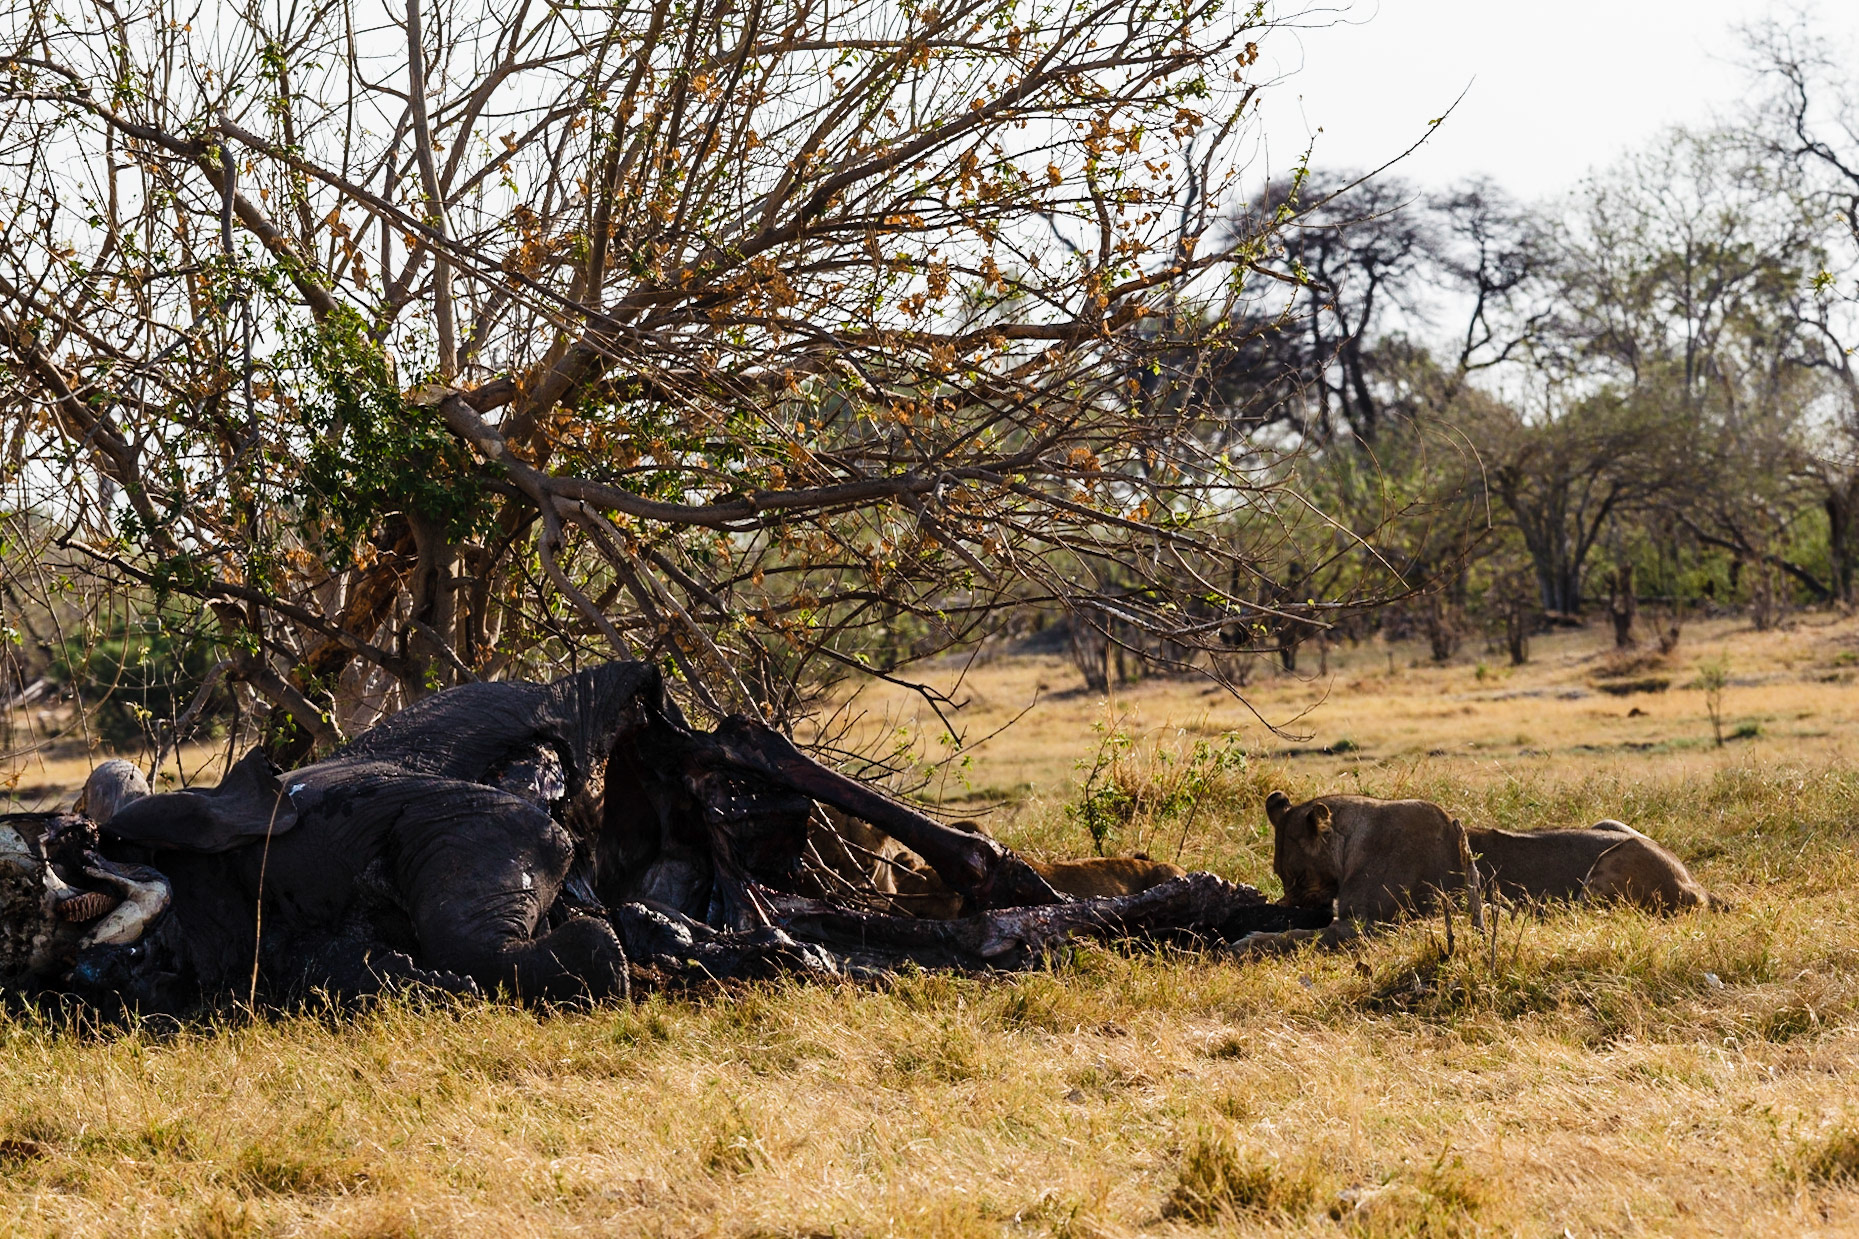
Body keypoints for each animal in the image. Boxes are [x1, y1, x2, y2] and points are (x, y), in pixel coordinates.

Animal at [1248, 790, 1711, 949]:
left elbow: (1298, 938)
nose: (1287, 903)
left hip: (1611, 861)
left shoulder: (1368, 926)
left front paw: (1249, 940)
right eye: (1280, 875)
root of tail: (1697, 885)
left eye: (1297, 876)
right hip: (1608, 823)